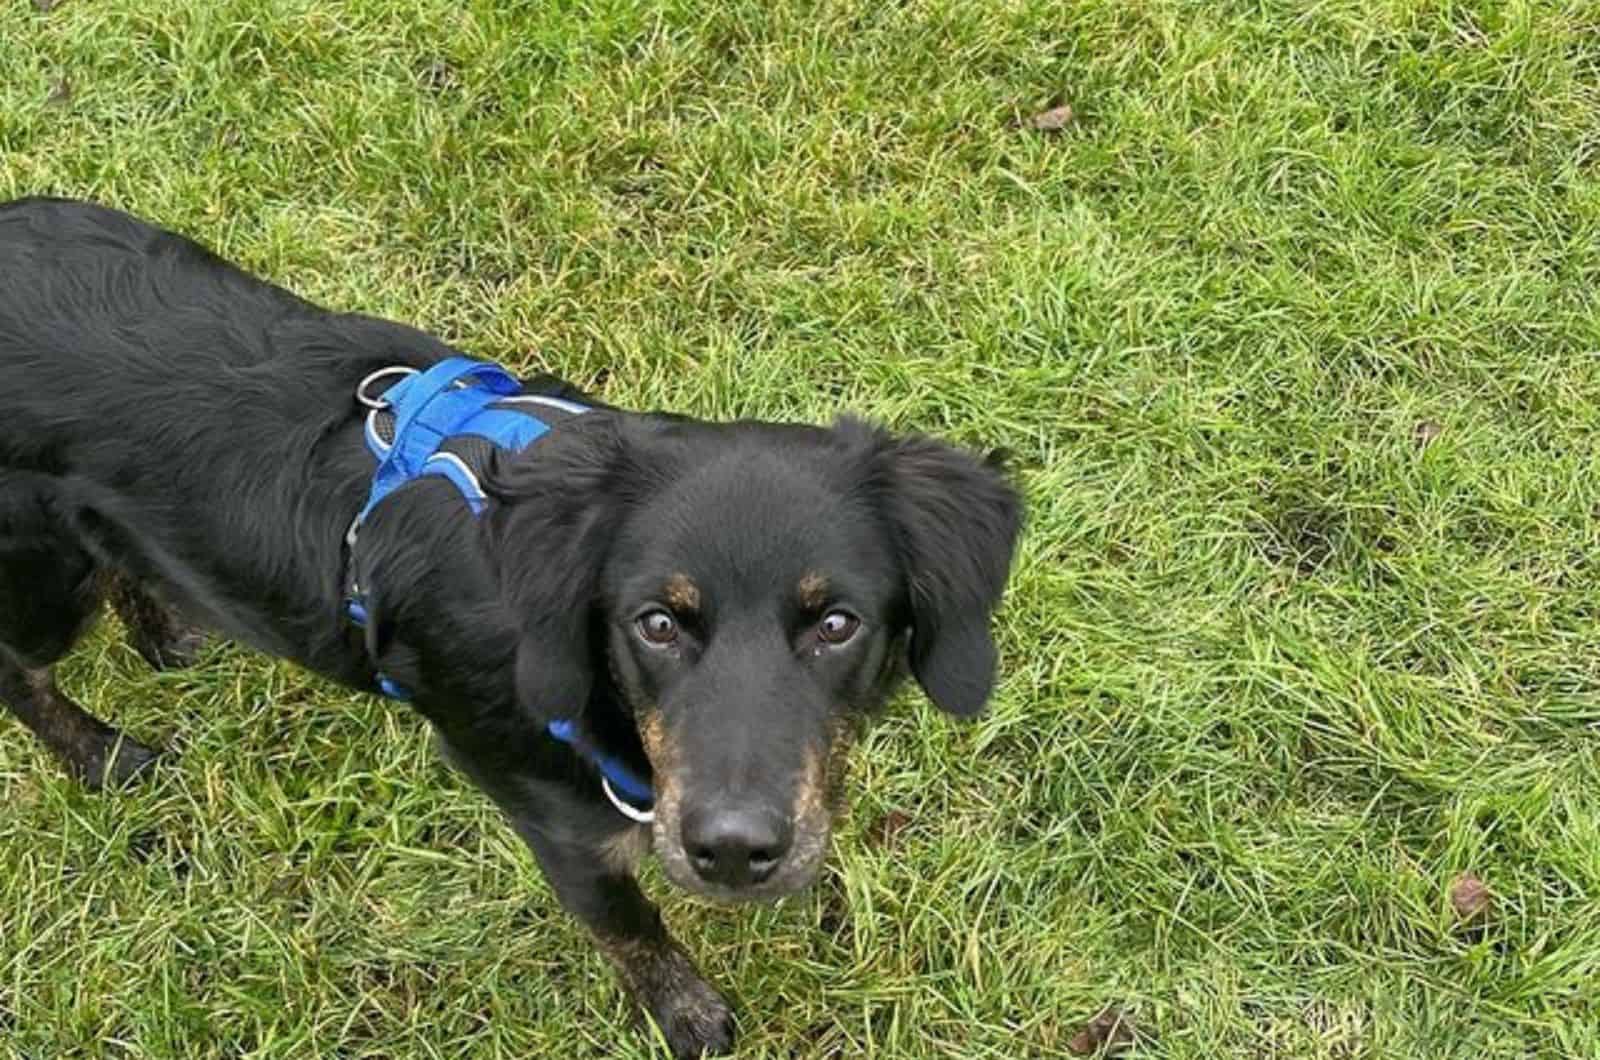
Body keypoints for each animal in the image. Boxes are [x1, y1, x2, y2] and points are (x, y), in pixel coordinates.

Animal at [0, 196, 1024, 1056]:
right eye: (656, 624)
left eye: (837, 624)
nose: (734, 853)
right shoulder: (562, 830)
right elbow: (632, 930)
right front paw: (688, 1015)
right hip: (38, 578)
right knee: (19, 670)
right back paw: (102, 755)